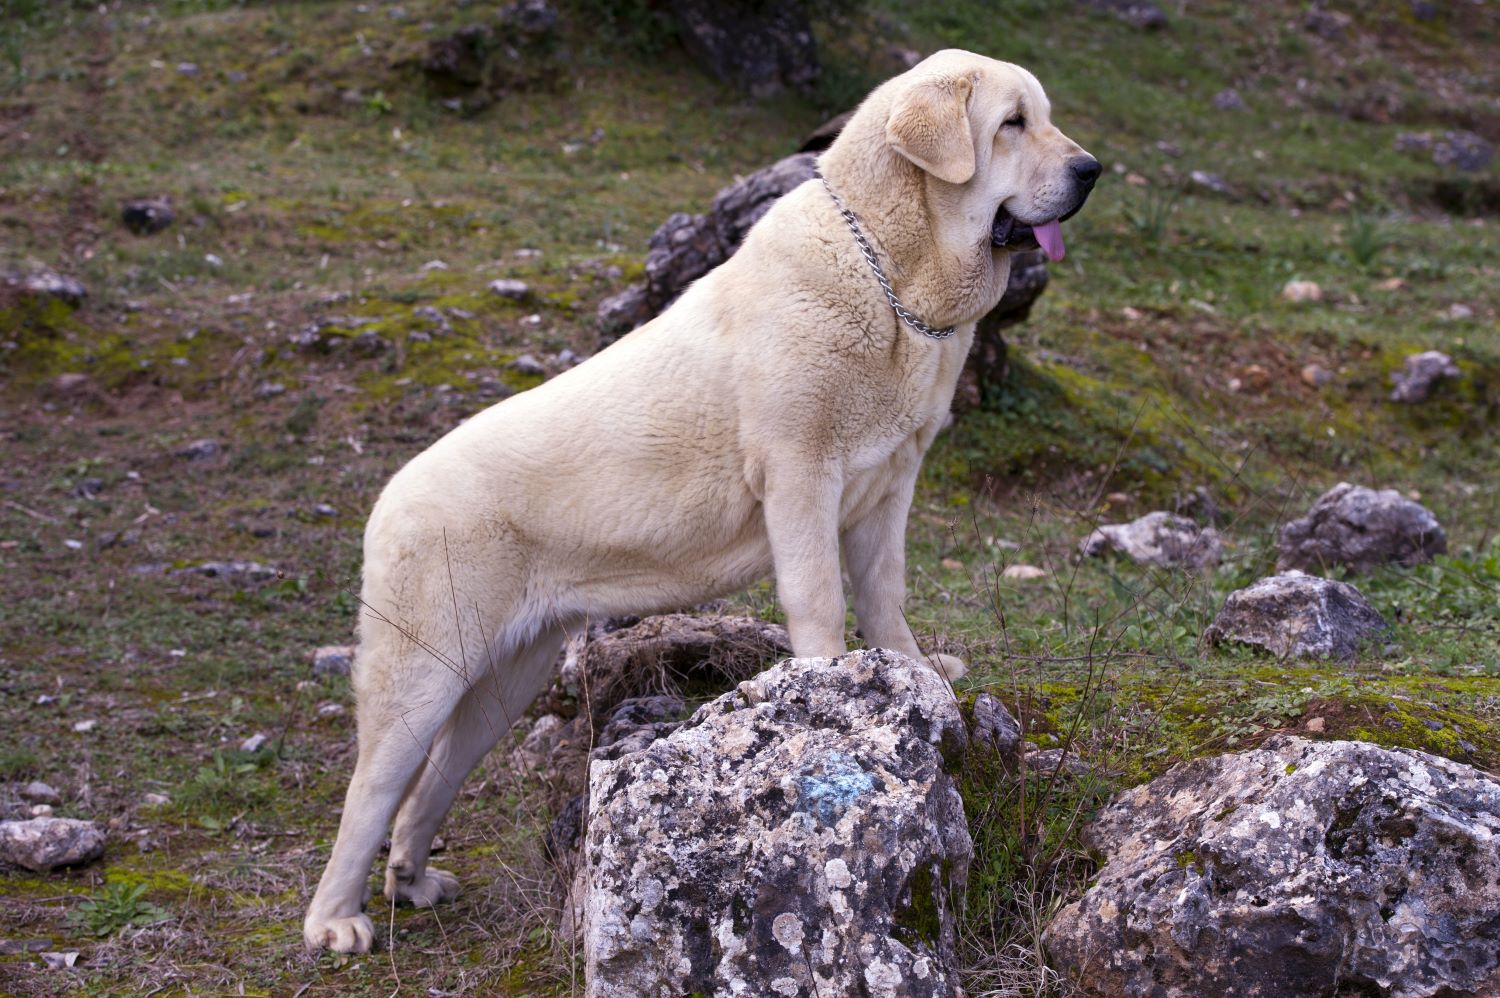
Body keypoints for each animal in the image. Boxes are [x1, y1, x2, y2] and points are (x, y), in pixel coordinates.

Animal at [307, 46, 1104, 948]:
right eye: (1012, 124)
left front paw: (910, 669)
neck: (890, 269)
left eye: (1042, 118)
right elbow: (821, 596)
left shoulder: (889, 487)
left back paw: (410, 878)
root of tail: (389, 498)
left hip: (508, 676)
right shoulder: (800, 472)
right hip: (422, 667)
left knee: (432, 778)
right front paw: (830, 689)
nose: (1090, 170)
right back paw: (336, 921)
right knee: (373, 787)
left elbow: (884, 591)